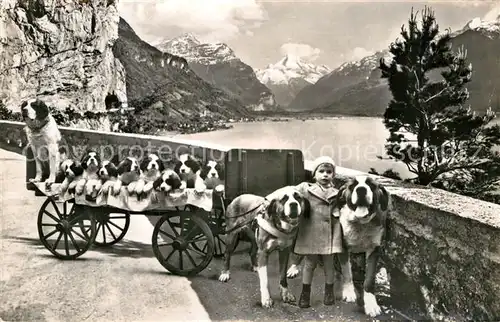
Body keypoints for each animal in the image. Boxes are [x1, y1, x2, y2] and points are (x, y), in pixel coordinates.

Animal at [336, 175, 390, 318]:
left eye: (371, 185)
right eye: (352, 186)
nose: (361, 189)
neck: (361, 225)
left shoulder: (374, 250)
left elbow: (369, 279)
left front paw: (371, 303)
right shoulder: (343, 248)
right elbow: (347, 272)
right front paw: (349, 291)